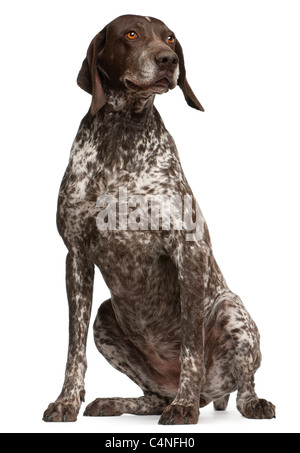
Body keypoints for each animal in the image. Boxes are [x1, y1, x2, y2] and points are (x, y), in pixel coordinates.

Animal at [43, 14, 276, 424]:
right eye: (131, 34)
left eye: (169, 38)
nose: (169, 60)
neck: (121, 132)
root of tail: (210, 394)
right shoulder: (76, 256)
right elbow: (74, 348)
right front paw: (66, 401)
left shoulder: (188, 251)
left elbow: (191, 349)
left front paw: (183, 406)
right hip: (105, 316)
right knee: (152, 397)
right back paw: (118, 402)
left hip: (231, 309)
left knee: (241, 383)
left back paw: (237, 402)